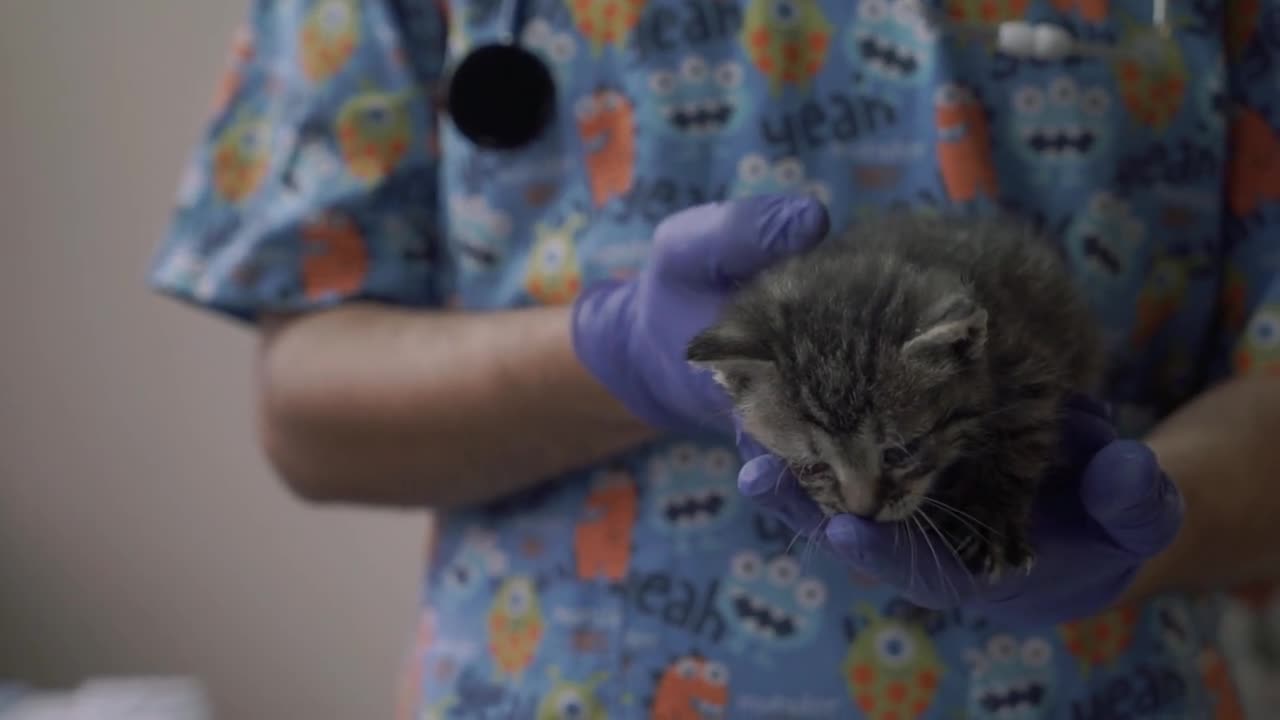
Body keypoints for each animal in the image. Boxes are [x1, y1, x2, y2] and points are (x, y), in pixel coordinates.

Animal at [686, 210, 1105, 579]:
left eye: (900, 453)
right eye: (813, 467)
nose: (862, 512)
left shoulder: (1024, 360)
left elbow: (1020, 435)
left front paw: (990, 517)